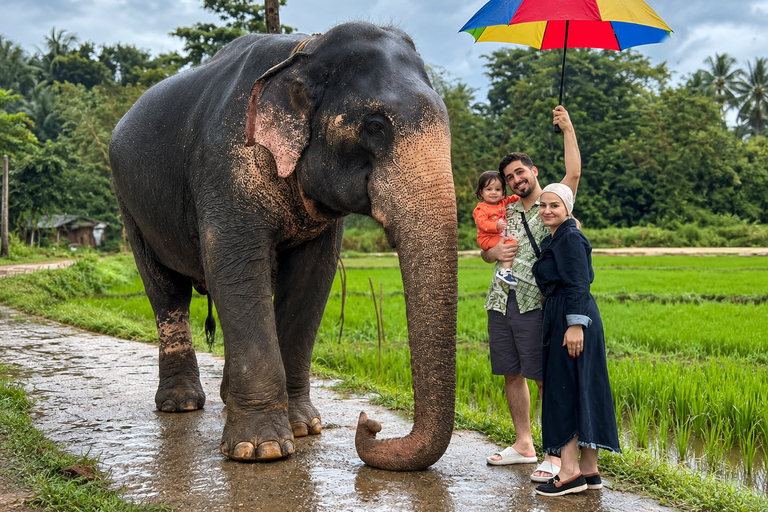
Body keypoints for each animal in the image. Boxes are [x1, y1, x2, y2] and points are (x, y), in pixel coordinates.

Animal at [108, 21, 458, 471]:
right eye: (376, 126)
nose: (370, 424)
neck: (307, 50)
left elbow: (312, 278)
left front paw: (304, 428)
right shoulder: (225, 166)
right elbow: (236, 267)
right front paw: (261, 450)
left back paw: (224, 401)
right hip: (128, 204)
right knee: (167, 292)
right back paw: (180, 405)